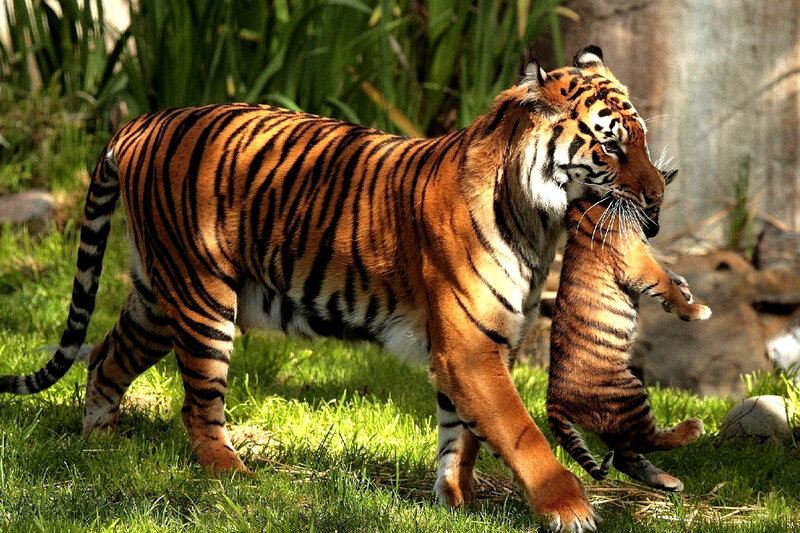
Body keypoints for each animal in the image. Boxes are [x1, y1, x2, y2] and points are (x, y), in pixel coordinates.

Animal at [1, 44, 672, 531]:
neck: (540, 223)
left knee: (105, 357)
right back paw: (232, 475)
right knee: (197, 405)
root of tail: (142, 121)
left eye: (640, 139)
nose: (658, 197)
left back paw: (101, 447)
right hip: (201, 298)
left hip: (157, 295)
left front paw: (457, 501)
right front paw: (570, 509)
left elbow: (462, 435)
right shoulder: (470, 346)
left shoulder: (479, 345)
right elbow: (519, 431)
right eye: (611, 144)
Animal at [547, 193, 711, 492]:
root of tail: (553, 401)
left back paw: (668, 481)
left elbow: (669, 276)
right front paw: (694, 310)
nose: (655, 230)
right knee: (646, 440)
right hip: (629, 393)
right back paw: (692, 429)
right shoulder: (637, 263)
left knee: (626, 458)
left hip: (615, 421)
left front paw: (684, 286)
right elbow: (665, 284)